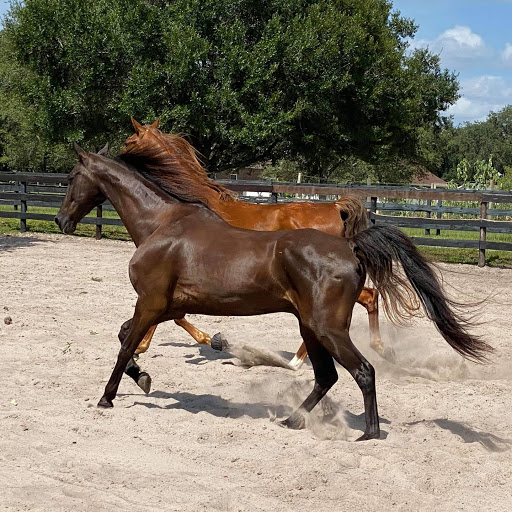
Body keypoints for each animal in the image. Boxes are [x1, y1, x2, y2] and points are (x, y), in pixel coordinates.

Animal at [55, 145, 492, 440]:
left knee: (362, 371)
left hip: (326, 327)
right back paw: (293, 418)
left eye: (72, 176)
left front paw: (108, 396)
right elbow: (126, 337)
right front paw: (143, 376)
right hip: (310, 327)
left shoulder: (150, 302)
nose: (60, 220)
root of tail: (349, 246)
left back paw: (367, 433)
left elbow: (125, 344)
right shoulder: (164, 306)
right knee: (327, 376)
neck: (161, 224)